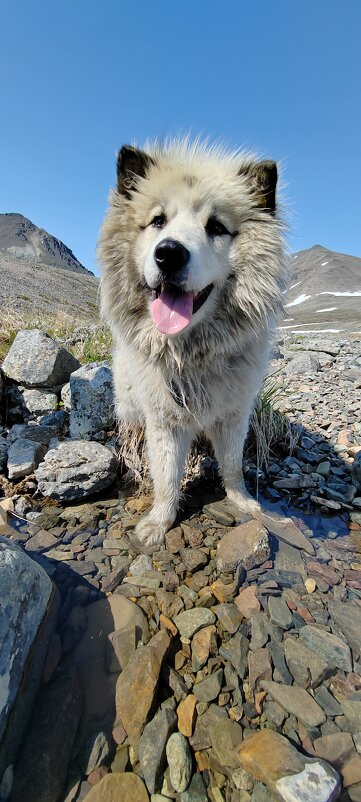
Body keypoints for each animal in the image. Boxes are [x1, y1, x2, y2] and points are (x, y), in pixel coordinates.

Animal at [97, 141, 286, 548]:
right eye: (158, 221)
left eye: (216, 227)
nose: (168, 253)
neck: (192, 354)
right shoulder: (164, 420)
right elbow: (167, 476)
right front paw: (159, 522)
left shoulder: (234, 413)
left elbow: (232, 464)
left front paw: (243, 501)